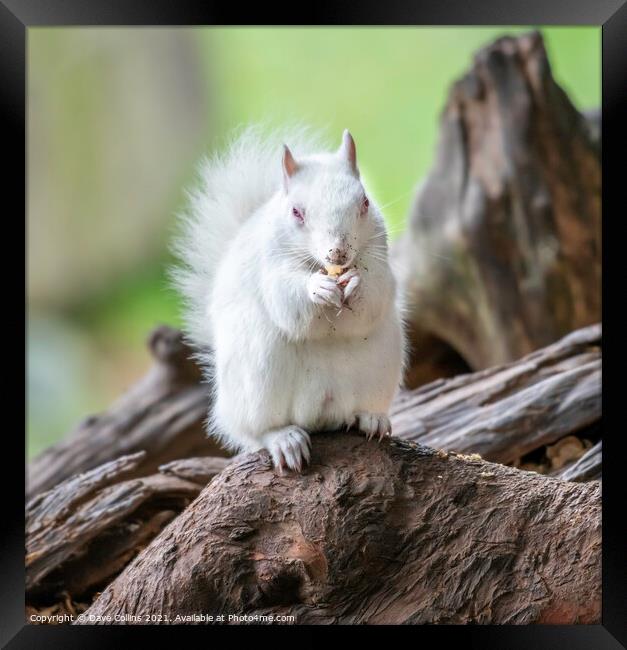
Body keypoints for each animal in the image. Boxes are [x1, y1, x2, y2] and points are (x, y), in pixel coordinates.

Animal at [173, 125, 408, 470]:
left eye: (364, 203)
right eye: (297, 212)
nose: (338, 253)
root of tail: (321, 414)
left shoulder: (378, 256)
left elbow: (377, 293)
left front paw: (356, 282)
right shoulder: (270, 266)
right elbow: (285, 299)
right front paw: (317, 289)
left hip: (380, 366)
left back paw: (370, 418)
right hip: (259, 378)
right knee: (257, 431)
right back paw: (284, 440)